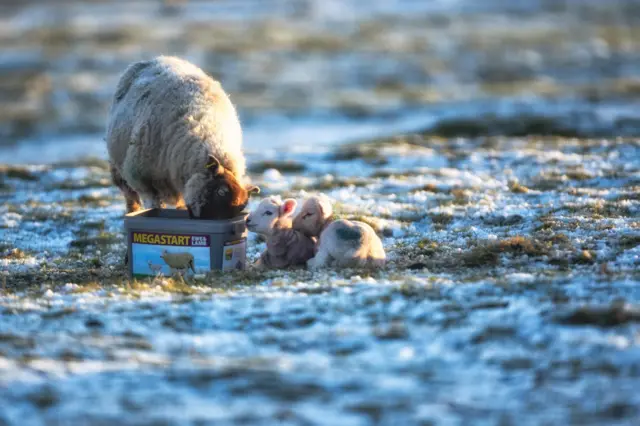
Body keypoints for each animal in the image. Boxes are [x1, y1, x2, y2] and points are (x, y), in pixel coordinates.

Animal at [107, 55, 260, 220]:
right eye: (220, 192)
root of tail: (159, 58)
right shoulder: (143, 181)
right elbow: (153, 206)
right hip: (120, 171)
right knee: (131, 198)